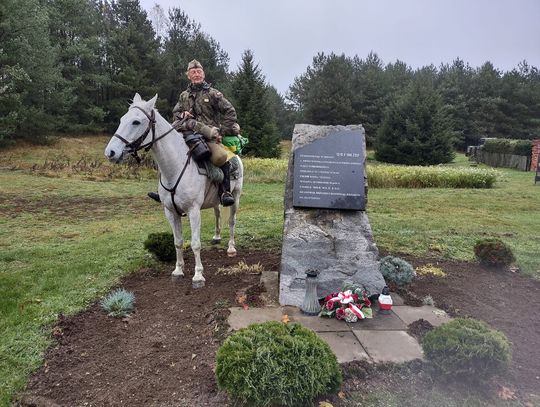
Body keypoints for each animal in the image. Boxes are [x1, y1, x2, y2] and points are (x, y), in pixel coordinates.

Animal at [104, 94, 243, 288]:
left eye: (136, 122)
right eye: (122, 119)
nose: (110, 152)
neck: (175, 167)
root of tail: (234, 153)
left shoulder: (193, 211)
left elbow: (195, 244)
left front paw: (198, 276)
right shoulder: (170, 212)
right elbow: (178, 242)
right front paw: (178, 271)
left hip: (235, 197)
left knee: (231, 221)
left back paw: (231, 248)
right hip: (215, 201)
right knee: (217, 214)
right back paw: (216, 237)